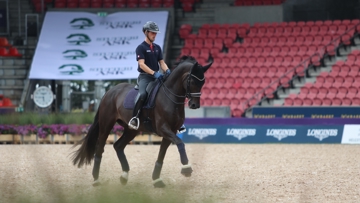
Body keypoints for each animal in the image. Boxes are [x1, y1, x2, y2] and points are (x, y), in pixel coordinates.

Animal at [71, 55, 212, 187]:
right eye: (192, 81)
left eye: (203, 82)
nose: (194, 105)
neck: (170, 97)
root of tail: (109, 92)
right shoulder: (163, 129)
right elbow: (180, 143)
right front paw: (186, 168)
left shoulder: (171, 131)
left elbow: (162, 154)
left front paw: (157, 179)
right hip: (106, 125)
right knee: (100, 149)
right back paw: (96, 179)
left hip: (131, 130)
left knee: (118, 146)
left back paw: (124, 176)